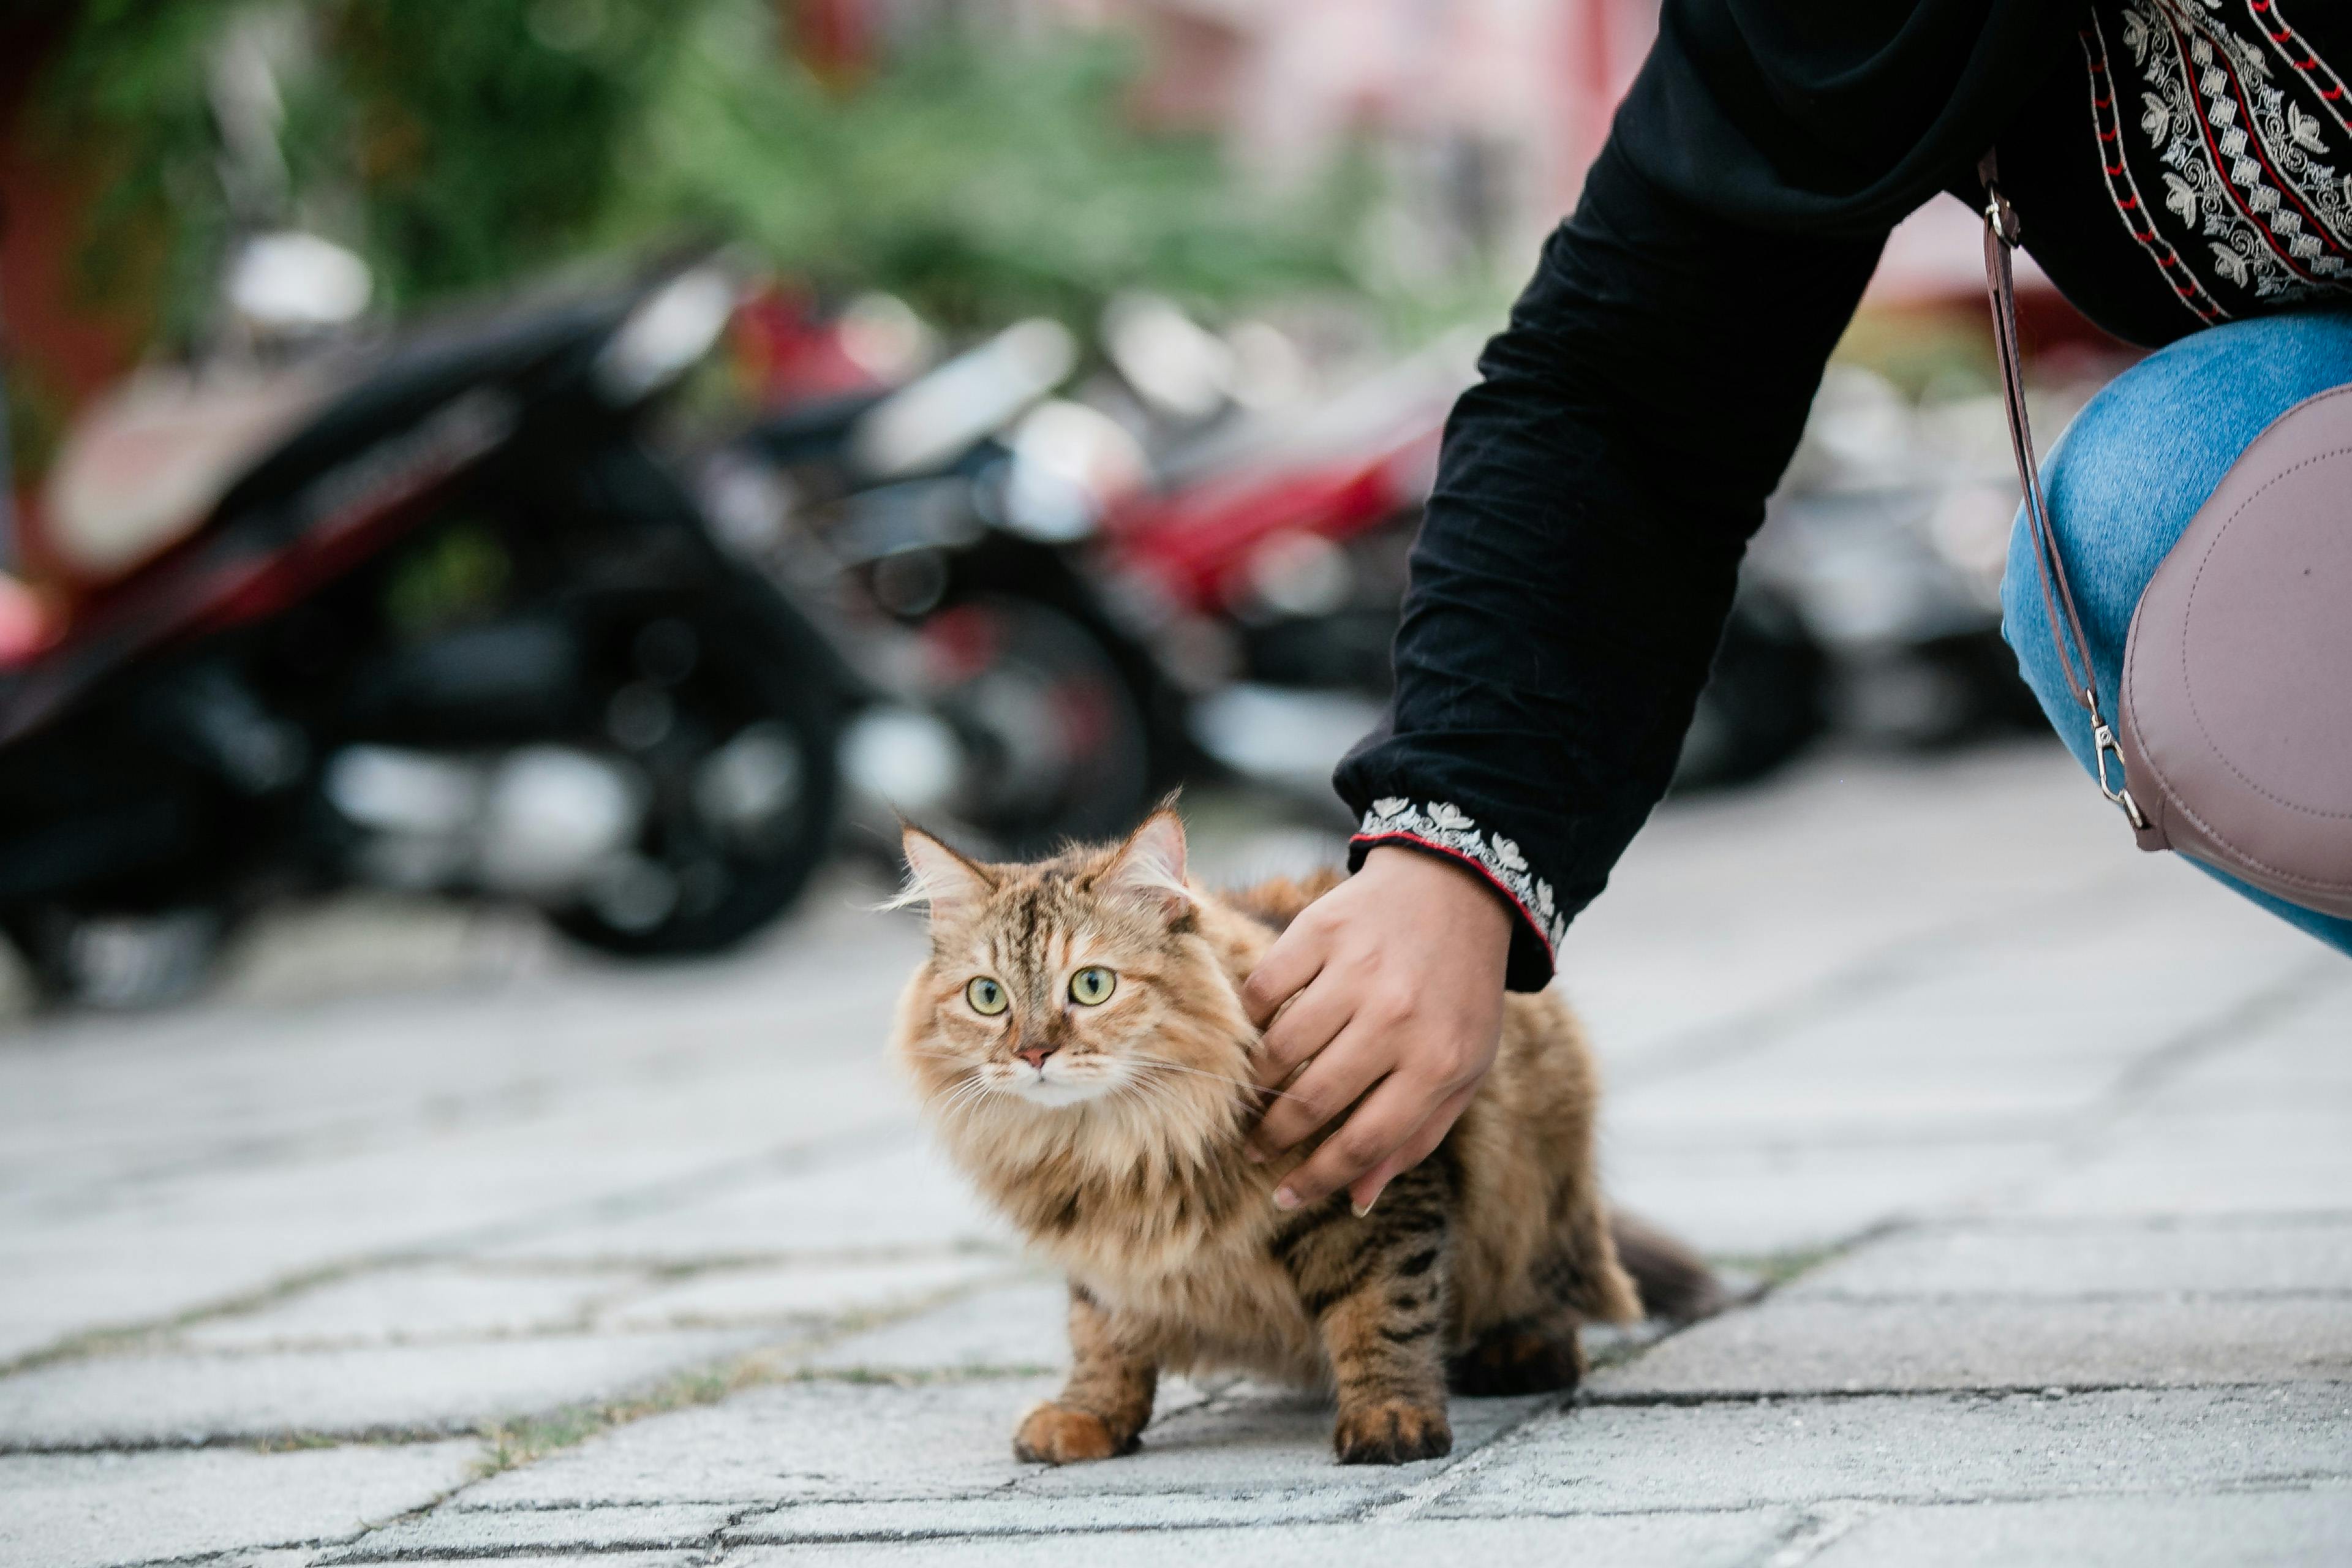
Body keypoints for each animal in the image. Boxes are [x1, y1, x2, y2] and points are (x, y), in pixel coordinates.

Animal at [884, 818, 1712, 1466]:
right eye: (987, 997)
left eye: (1091, 986)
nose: (1032, 1053)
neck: (1117, 1146)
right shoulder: (1099, 1253)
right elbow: (1101, 1334)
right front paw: (1089, 1416)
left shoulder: (1377, 1185)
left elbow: (1383, 1313)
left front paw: (1391, 1419)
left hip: (1536, 1172)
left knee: (1554, 1299)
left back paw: (1517, 1351)